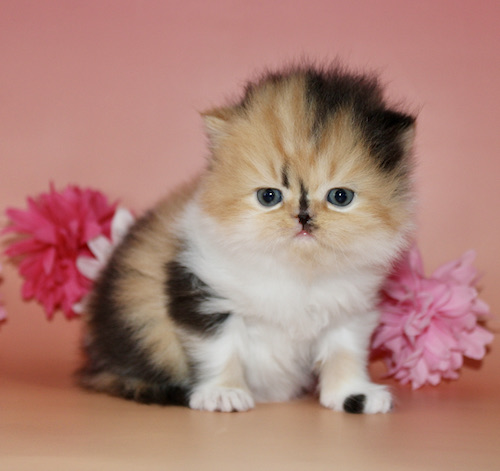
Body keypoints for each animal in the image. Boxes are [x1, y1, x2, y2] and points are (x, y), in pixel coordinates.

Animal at [78, 64, 416, 414]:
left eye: (340, 197)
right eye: (269, 196)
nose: (303, 218)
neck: (297, 272)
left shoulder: (349, 309)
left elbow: (345, 353)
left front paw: (355, 395)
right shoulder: (204, 292)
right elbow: (220, 351)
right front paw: (222, 394)